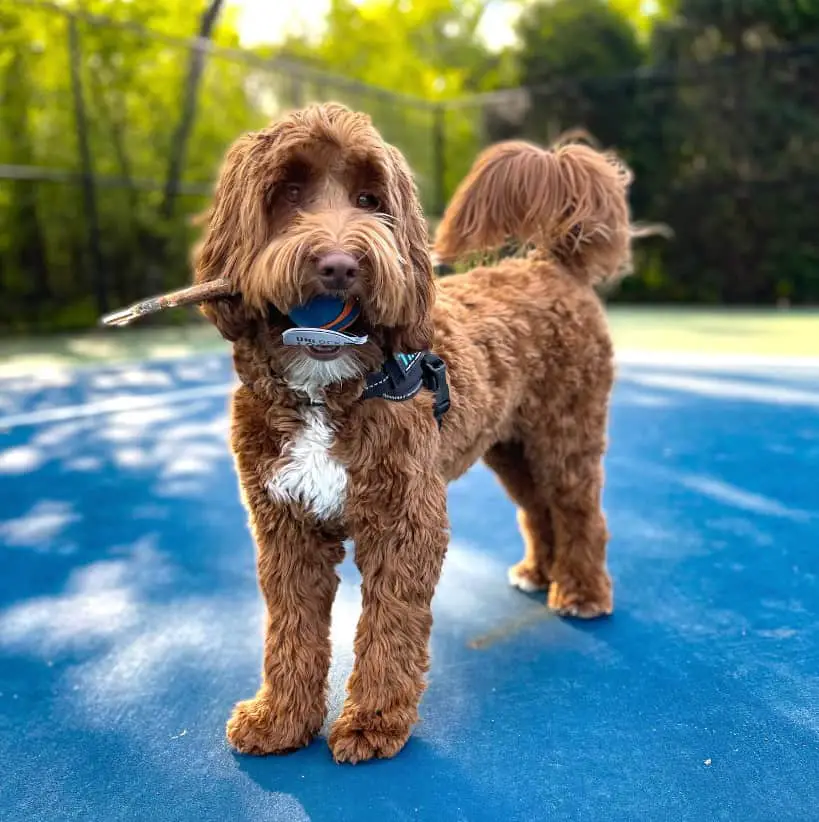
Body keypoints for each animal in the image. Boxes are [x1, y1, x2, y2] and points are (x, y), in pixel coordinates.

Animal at [197, 101, 636, 768]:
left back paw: (582, 590)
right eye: (288, 193)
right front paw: (280, 718)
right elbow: (290, 629)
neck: (330, 388)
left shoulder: (406, 520)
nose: (340, 265)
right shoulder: (287, 524)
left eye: (370, 197)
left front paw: (372, 723)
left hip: (566, 433)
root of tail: (549, 263)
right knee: (539, 509)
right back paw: (541, 571)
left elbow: (389, 628)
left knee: (580, 509)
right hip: (510, 448)